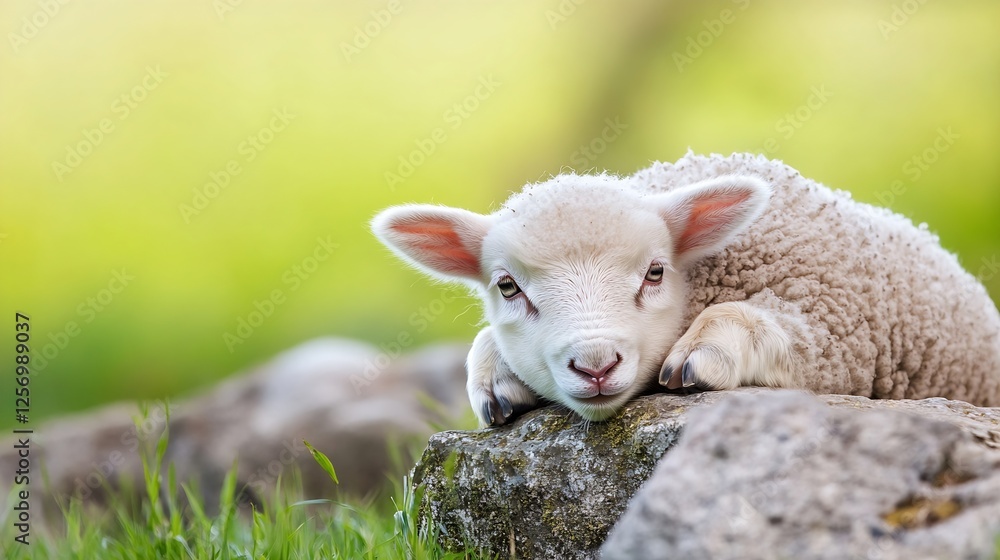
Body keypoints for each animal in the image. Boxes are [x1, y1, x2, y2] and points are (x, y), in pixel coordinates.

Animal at [372, 152, 1000, 427]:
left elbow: (747, 321)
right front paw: (495, 379)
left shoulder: (836, 335)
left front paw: (702, 353)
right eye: (507, 286)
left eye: (654, 272)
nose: (595, 365)